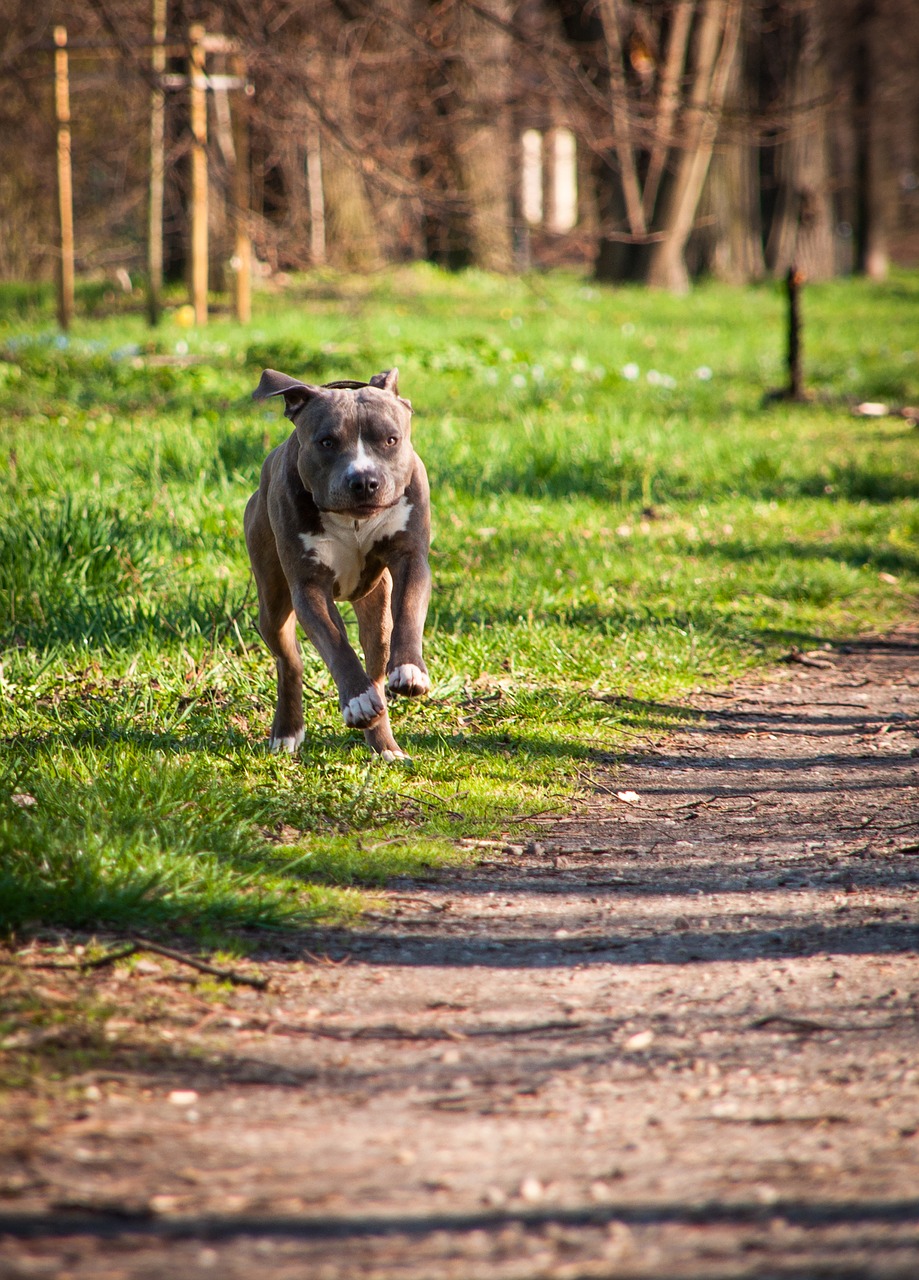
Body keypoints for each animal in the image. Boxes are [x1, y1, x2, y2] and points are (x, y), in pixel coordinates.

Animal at [244, 368, 432, 757]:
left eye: (391, 440)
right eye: (327, 442)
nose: (364, 480)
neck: (352, 521)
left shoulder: (410, 559)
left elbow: (409, 610)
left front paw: (410, 670)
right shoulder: (309, 587)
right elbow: (335, 643)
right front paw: (356, 700)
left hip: (377, 613)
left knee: (376, 663)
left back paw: (385, 744)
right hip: (272, 600)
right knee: (289, 661)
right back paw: (288, 731)